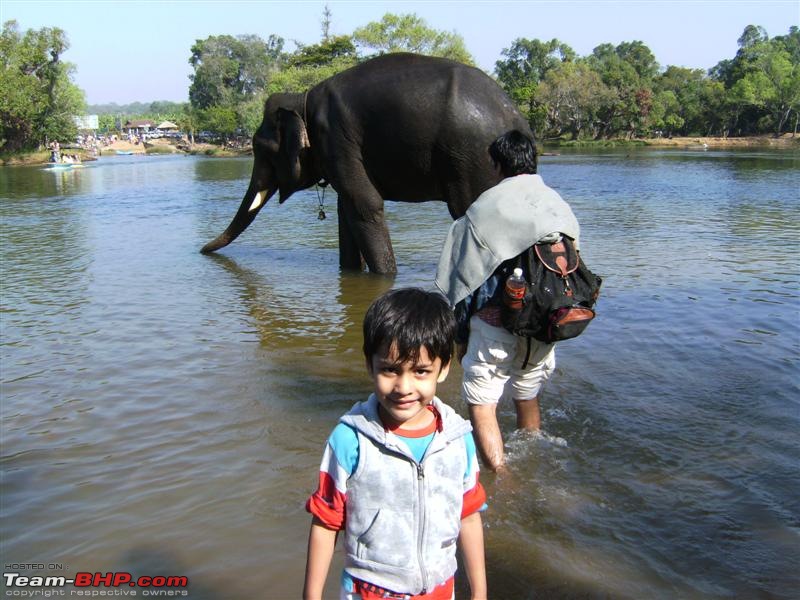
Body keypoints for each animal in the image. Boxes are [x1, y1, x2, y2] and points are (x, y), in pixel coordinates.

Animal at [203, 52, 536, 274]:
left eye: (261, 148)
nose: (201, 251)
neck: (302, 99)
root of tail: (515, 115)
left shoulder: (336, 138)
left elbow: (366, 204)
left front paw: (384, 278)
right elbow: (346, 209)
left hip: (471, 158)